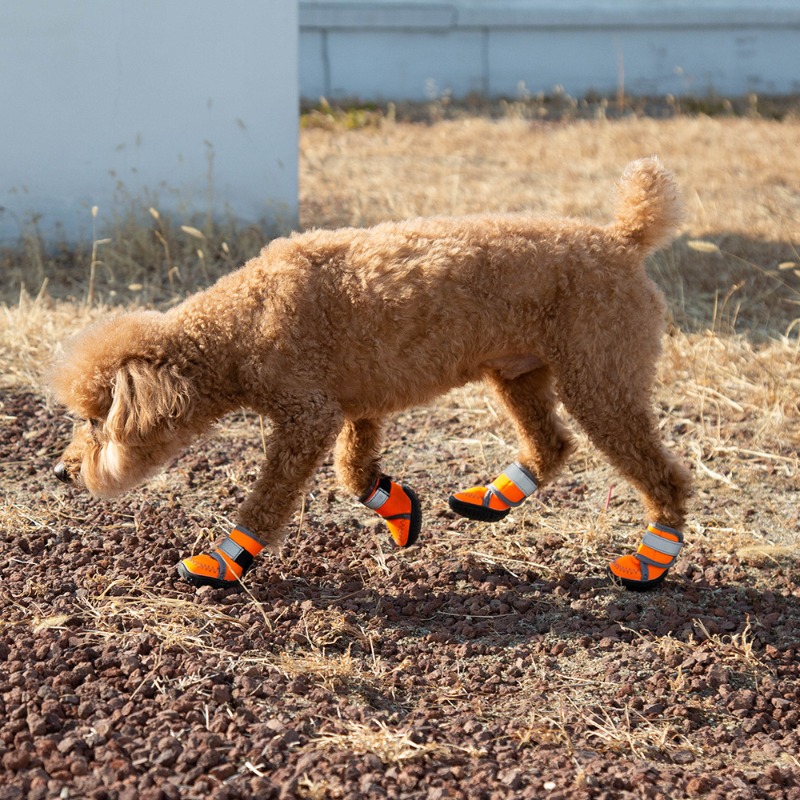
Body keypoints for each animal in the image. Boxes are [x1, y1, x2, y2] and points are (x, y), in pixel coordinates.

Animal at [50, 159, 692, 592]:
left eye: (96, 419)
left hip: (600, 377)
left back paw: (651, 558)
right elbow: (354, 472)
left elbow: (271, 498)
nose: (61, 471)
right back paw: (493, 497)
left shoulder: (307, 415)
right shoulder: (356, 403)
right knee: (552, 443)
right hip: (518, 373)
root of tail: (622, 239)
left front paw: (225, 561)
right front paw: (400, 509)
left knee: (663, 477)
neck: (237, 325)